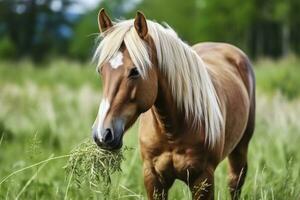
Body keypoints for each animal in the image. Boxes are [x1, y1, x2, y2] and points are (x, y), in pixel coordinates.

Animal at [91, 8, 255, 200]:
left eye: (135, 71)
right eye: (101, 70)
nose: (102, 134)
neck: (172, 131)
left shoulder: (203, 179)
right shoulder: (153, 178)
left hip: (241, 148)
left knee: (235, 182)